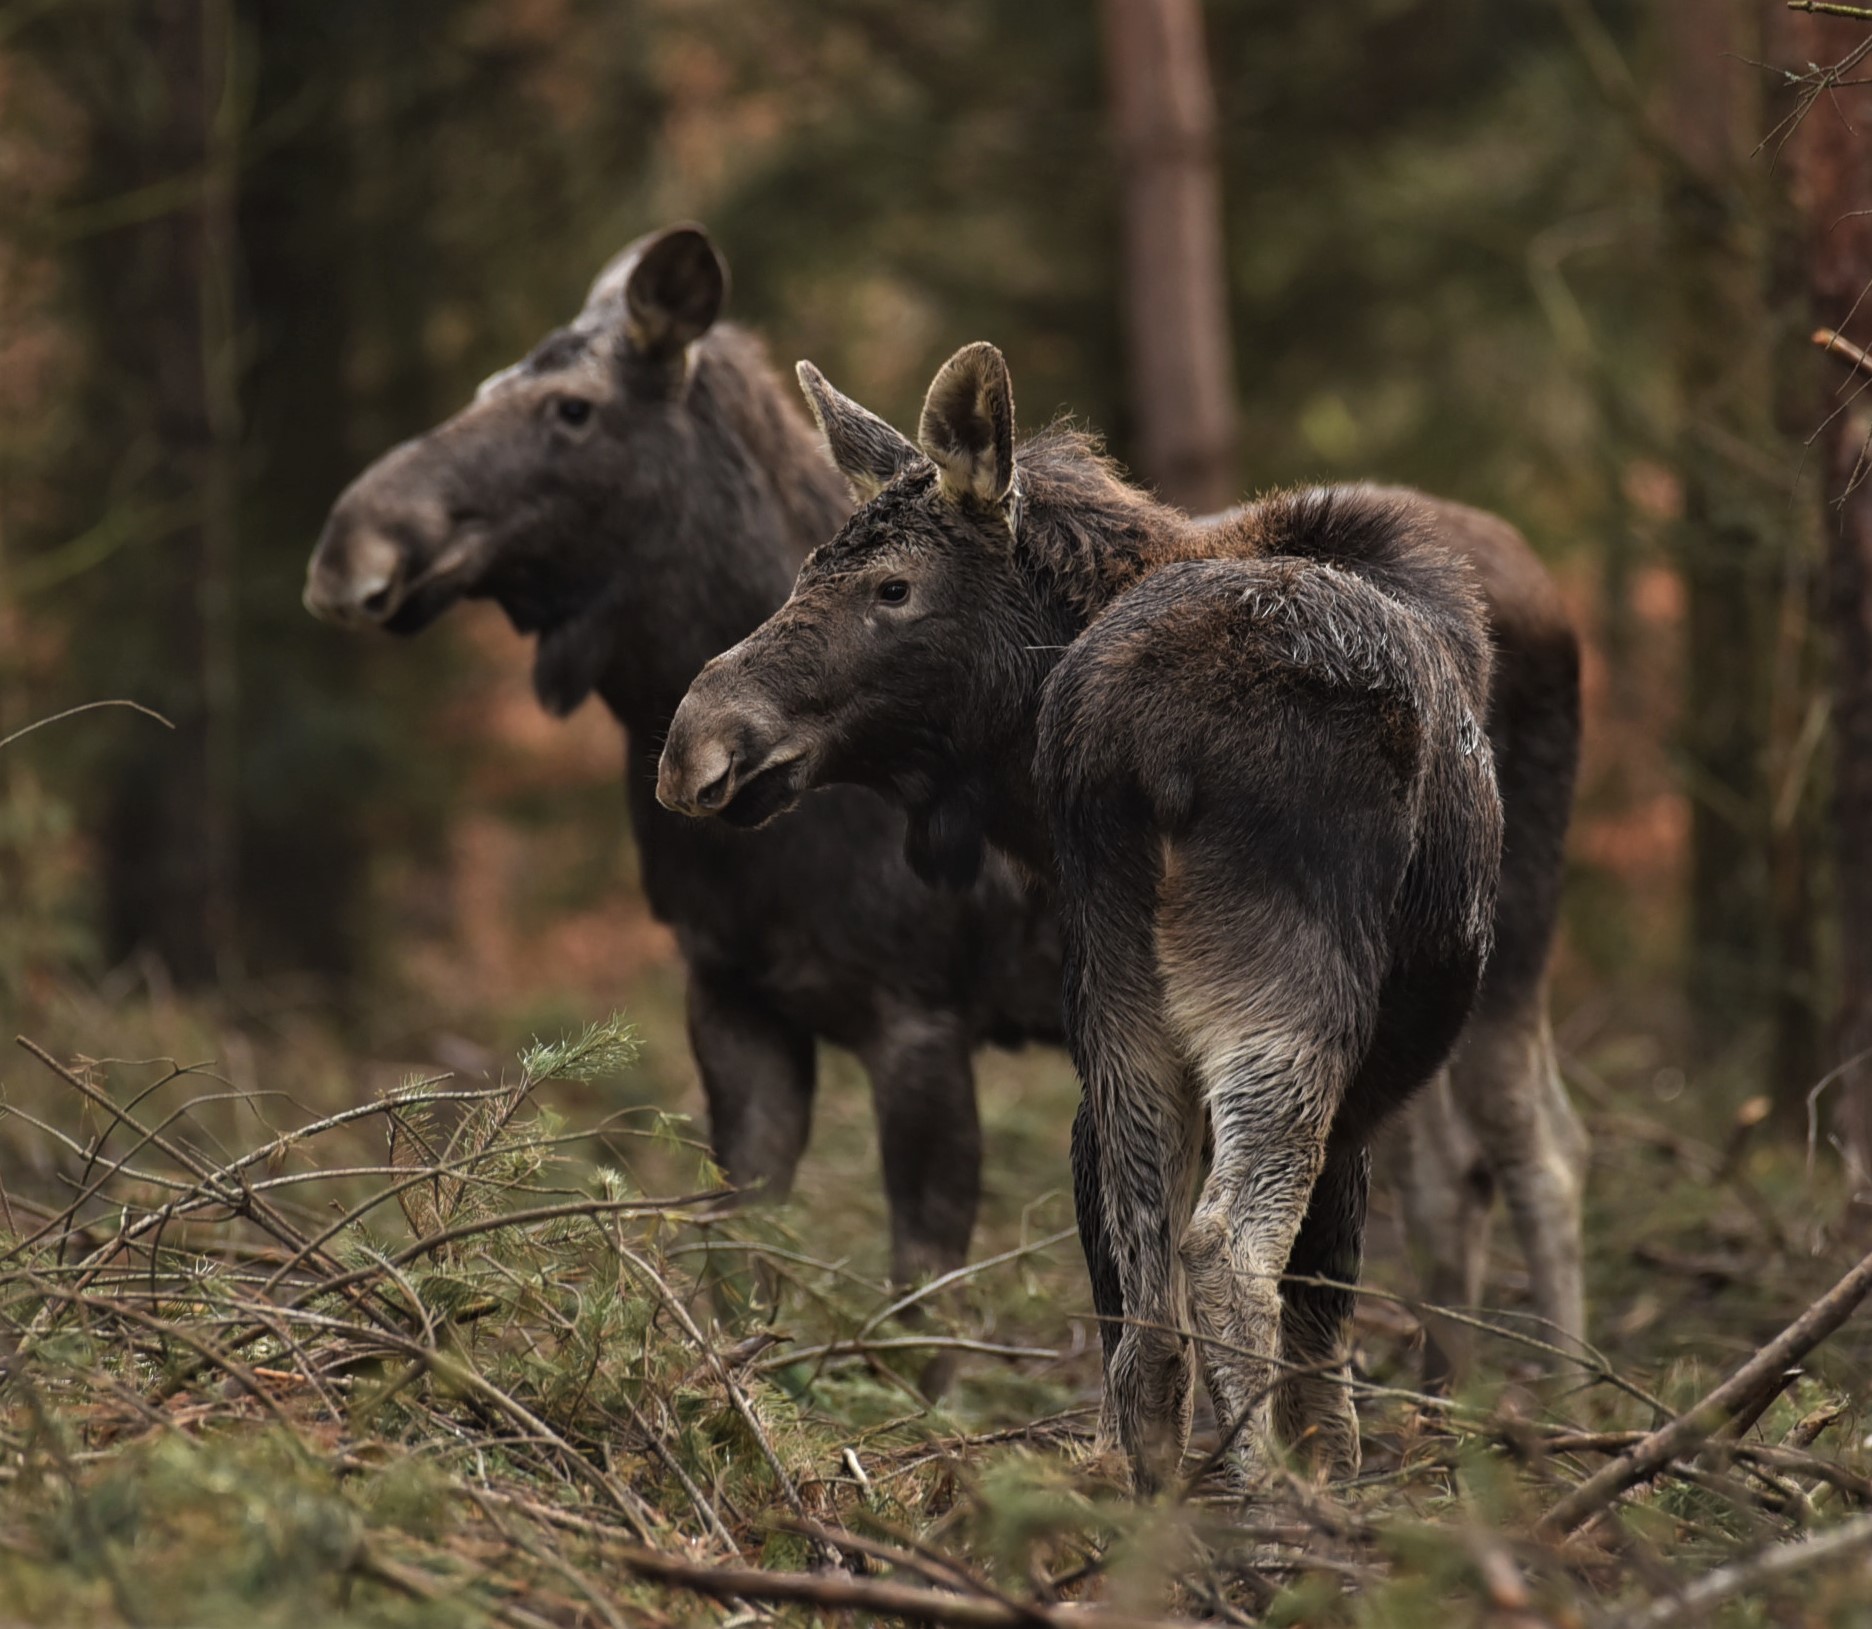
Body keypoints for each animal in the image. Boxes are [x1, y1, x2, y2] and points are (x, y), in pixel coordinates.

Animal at [307, 229, 1070, 1333]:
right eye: (490, 384)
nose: (347, 548)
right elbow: (736, 1257)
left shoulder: (921, 1014)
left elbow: (916, 1311)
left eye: (573, 408)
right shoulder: (732, 994)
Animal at [658, 344, 1564, 1490]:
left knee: (1141, 1291)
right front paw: (1334, 1477)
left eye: (890, 586)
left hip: (1124, 994)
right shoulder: (1364, 1084)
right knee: (1225, 1250)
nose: (693, 740)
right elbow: (1325, 1318)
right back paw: (1263, 1498)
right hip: (1292, 994)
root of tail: (1145, 738)